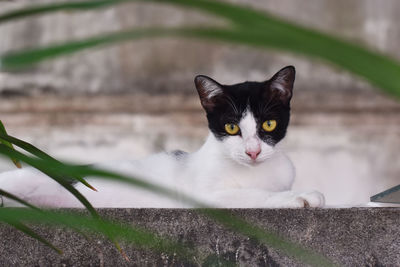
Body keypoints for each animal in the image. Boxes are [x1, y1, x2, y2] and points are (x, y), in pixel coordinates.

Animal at [0, 66, 324, 209]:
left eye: (268, 124)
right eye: (232, 128)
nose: (253, 151)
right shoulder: (206, 196)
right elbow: (255, 195)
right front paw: (301, 196)